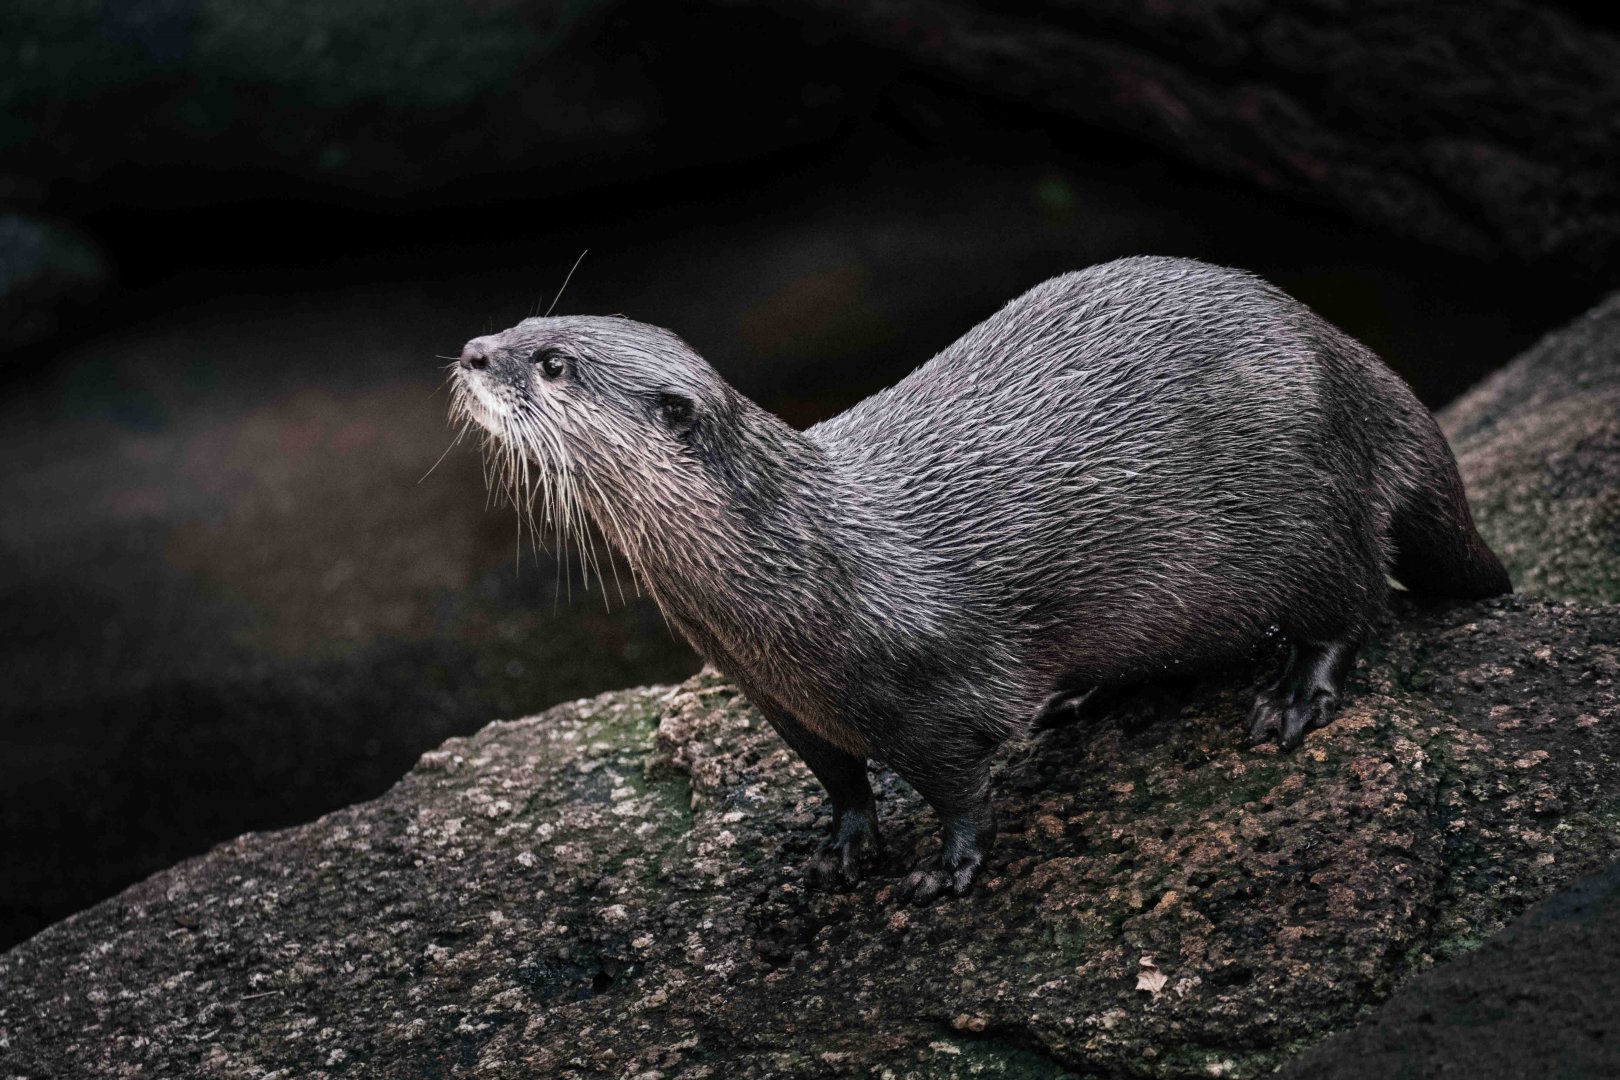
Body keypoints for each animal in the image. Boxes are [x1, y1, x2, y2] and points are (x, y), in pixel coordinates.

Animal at [450, 256, 1510, 904]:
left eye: (552, 363)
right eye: (525, 320)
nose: (471, 351)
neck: (803, 566)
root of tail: (1339, 353)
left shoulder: (931, 689)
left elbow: (958, 784)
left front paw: (948, 867)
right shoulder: (779, 699)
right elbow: (837, 775)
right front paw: (845, 845)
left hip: (1306, 508)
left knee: (1355, 600)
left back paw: (1293, 696)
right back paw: (1082, 697)